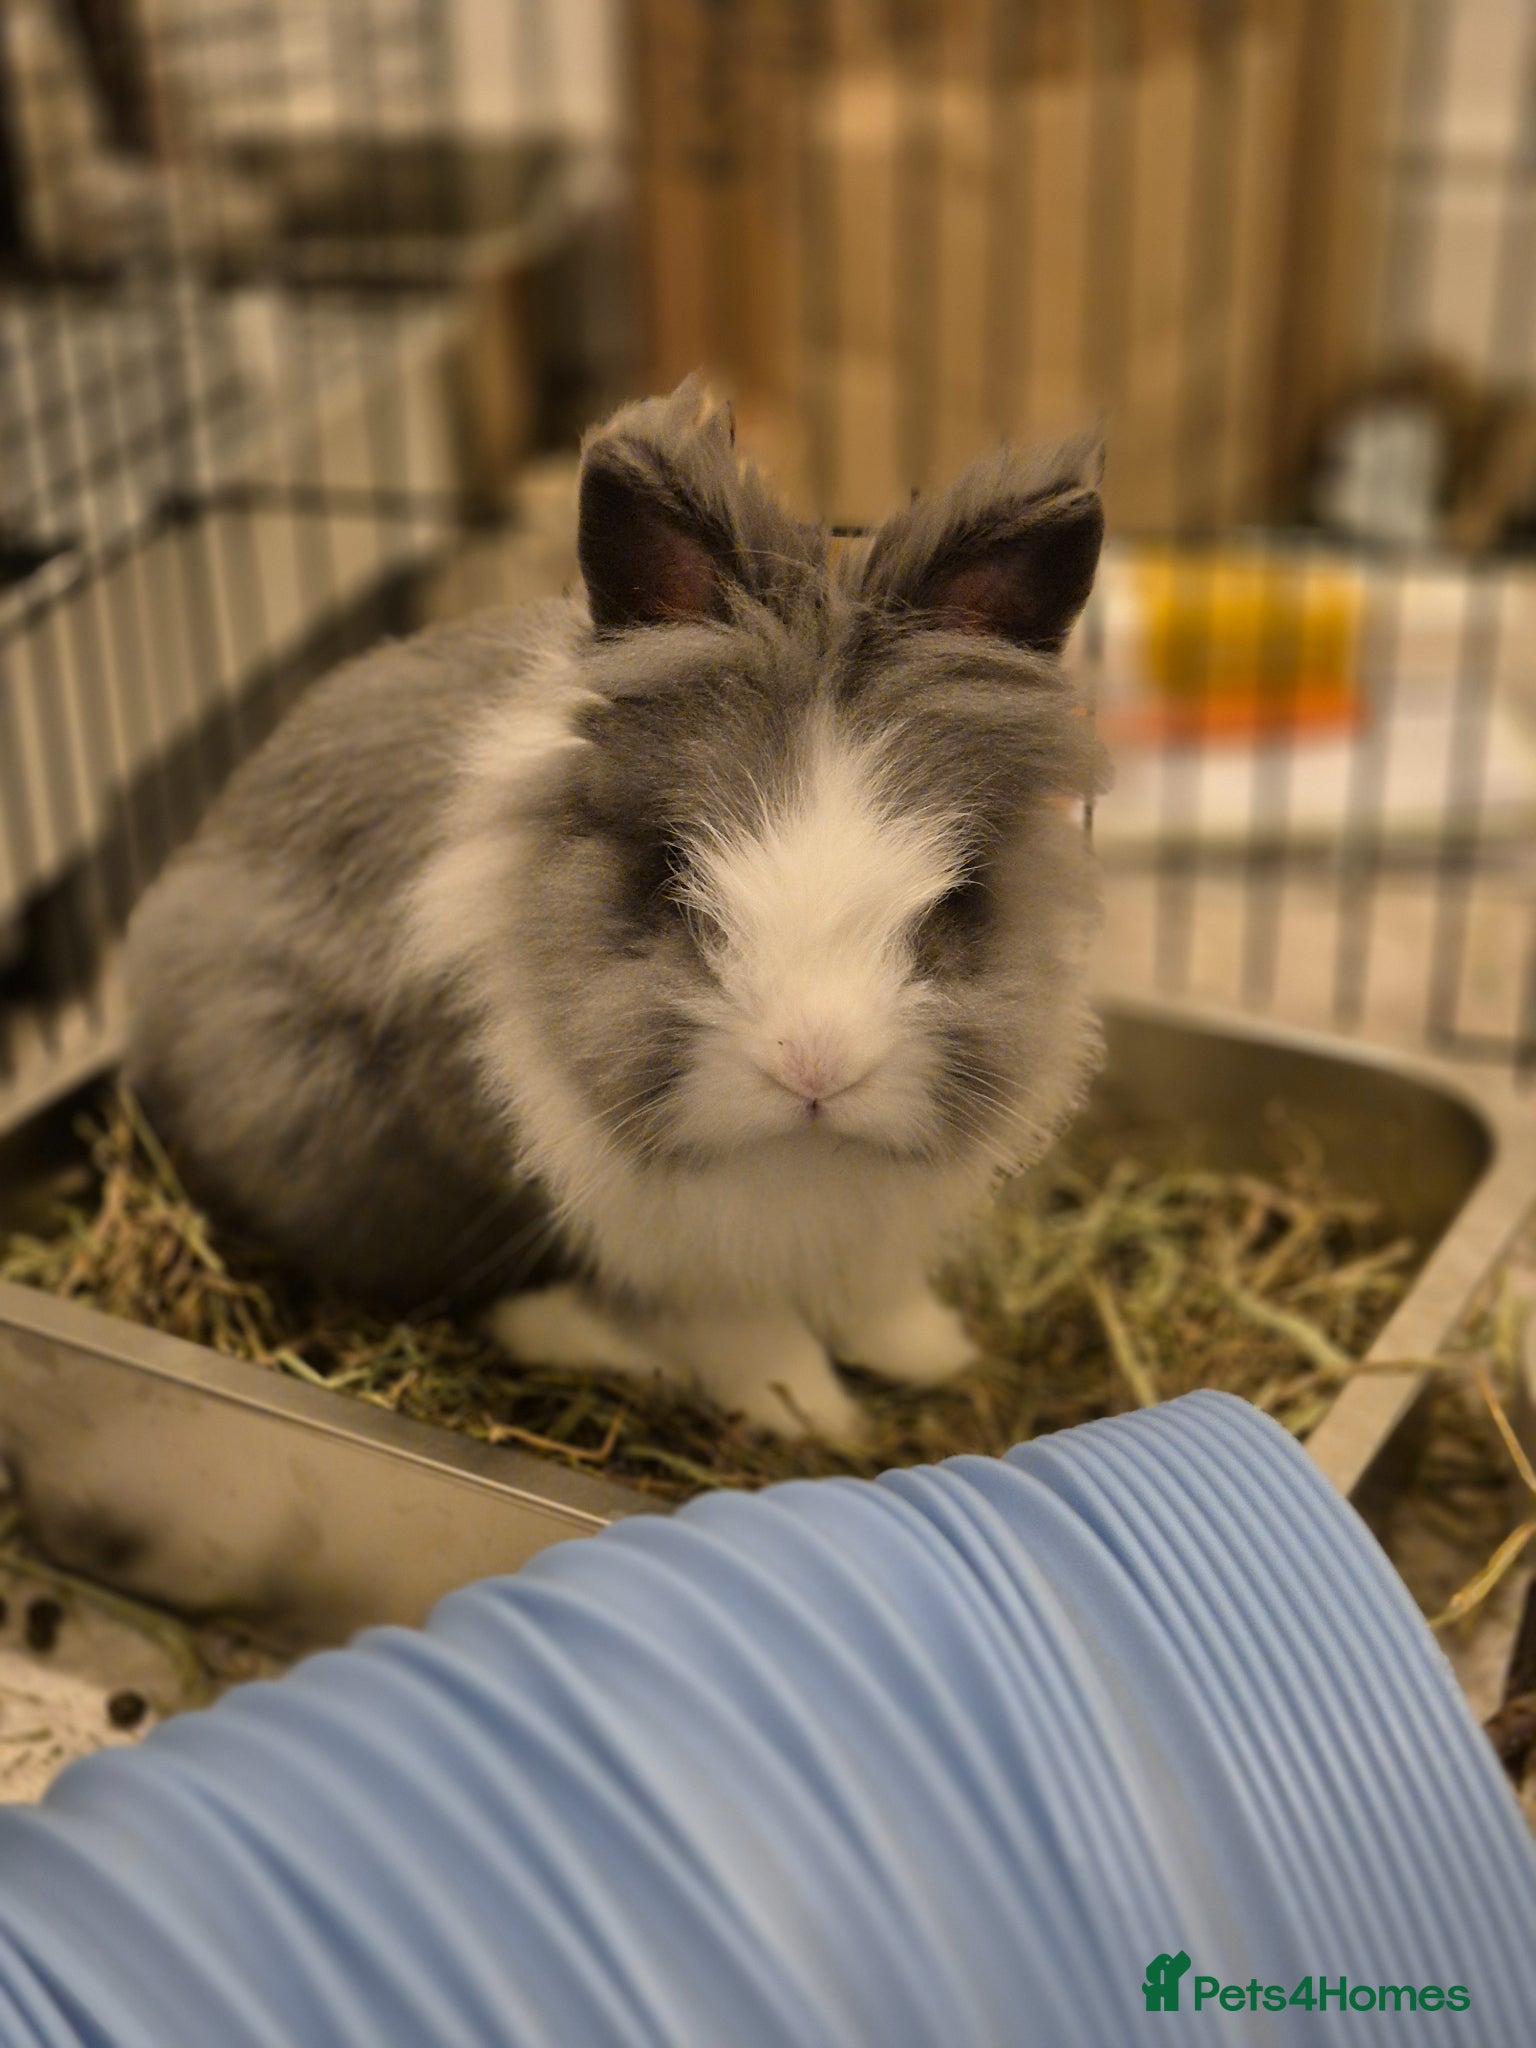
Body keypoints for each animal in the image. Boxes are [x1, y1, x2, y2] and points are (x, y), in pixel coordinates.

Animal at [125, 377, 1109, 1441]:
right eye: (674, 880)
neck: (798, 1159)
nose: (816, 1068)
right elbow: (745, 1333)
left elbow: (873, 1296)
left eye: (954, 897)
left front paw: (931, 1354)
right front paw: (812, 1417)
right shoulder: (671, 1253)